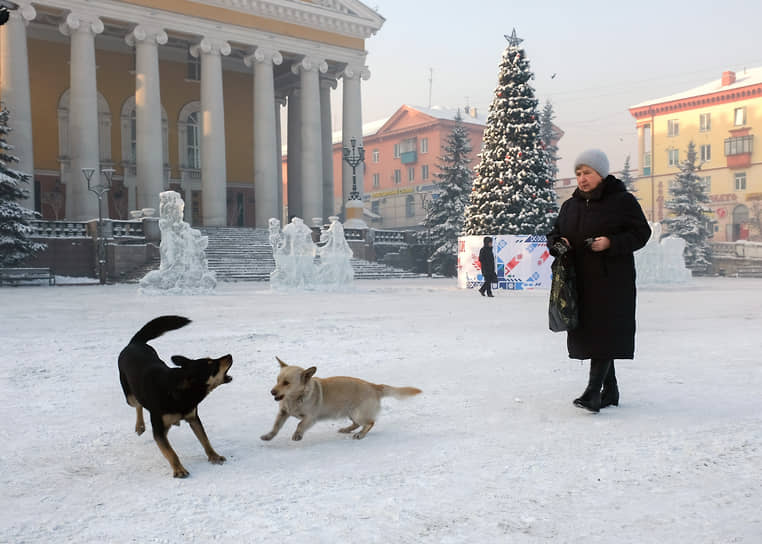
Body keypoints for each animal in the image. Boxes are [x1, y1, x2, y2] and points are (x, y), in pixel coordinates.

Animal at [116, 316, 232, 478]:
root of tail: (135, 343)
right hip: (130, 396)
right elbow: (170, 452)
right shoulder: (158, 430)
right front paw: (179, 469)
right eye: (212, 365)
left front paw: (214, 456)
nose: (229, 355)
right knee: (138, 404)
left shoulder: (193, 418)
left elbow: (204, 439)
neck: (178, 391)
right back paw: (140, 426)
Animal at [258, 356, 418, 442]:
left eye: (286, 383)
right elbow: (276, 426)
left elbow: (300, 425)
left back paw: (360, 435)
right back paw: (346, 429)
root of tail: (374, 386)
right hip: (350, 412)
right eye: (277, 380)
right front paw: (268, 436)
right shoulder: (283, 413)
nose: (272, 392)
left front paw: (298, 435)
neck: (295, 398)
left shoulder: (310, 417)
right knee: (357, 424)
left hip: (358, 413)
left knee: (369, 423)